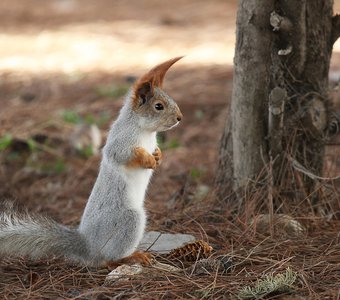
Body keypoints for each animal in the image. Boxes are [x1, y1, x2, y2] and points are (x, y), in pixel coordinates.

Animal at [0, 56, 183, 268]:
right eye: (158, 106)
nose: (180, 117)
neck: (145, 131)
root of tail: (88, 247)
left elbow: (156, 151)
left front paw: (158, 157)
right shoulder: (120, 141)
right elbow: (121, 155)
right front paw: (147, 159)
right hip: (129, 220)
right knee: (108, 259)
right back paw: (132, 256)